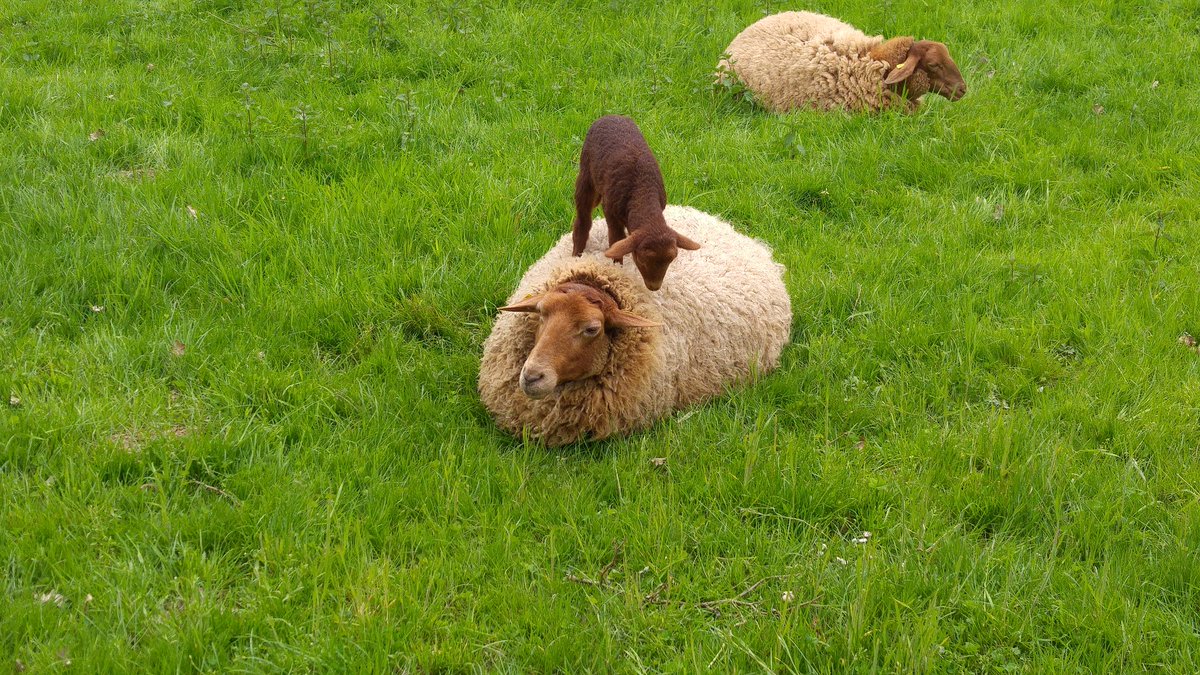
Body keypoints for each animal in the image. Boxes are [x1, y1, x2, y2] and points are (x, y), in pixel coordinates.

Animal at [572, 115, 701, 291]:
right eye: (640, 259)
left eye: (671, 260)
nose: (654, 287)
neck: (642, 193)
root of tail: (610, 116)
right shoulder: (610, 211)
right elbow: (616, 240)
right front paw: (617, 269)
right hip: (586, 173)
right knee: (583, 218)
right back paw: (576, 253)